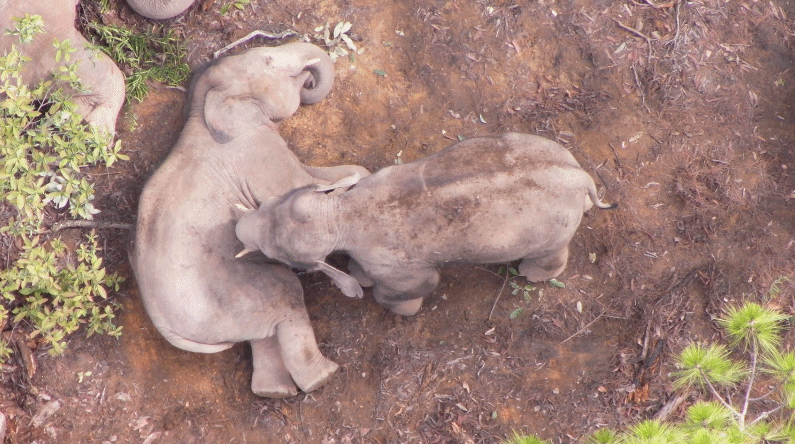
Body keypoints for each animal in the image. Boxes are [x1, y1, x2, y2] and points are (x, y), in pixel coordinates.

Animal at [131, 41, 370, 398]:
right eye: (268, 60)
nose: (309, 79)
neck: (201, 109)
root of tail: (165, 326)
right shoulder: (255, 150)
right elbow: (296, 186)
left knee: (264, 329)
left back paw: (277, 392)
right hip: (227, 299)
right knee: (284, 294)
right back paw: (325, 376)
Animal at [235, 132, 616, 316]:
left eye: (278, 256)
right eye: (269, 201)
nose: (236, 229)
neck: (341, 212)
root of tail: (579, 175)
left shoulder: (397, 264)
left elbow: (421, 284)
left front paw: (395, 307)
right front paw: (360, 278)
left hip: (552, 229)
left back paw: (532, 275)